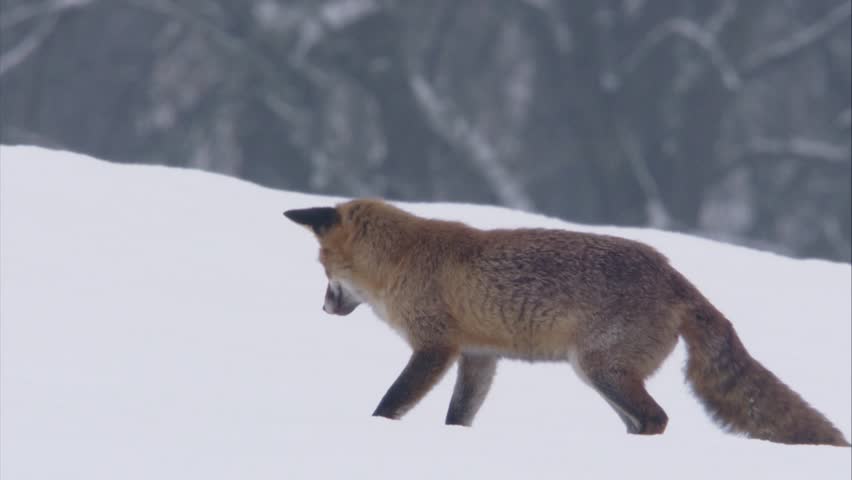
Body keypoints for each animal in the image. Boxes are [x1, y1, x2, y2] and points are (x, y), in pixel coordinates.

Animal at [284, 198, 850, 446]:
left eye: (323, 269)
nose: (323, 309)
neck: (402, 260)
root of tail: (672, 273)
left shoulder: (434, 347)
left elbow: (391, 403)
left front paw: (374, 432)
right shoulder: (478, 356)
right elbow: (458, 418)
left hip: (599, 368)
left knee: (656, 419)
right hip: (603, 376)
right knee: (644, 422)